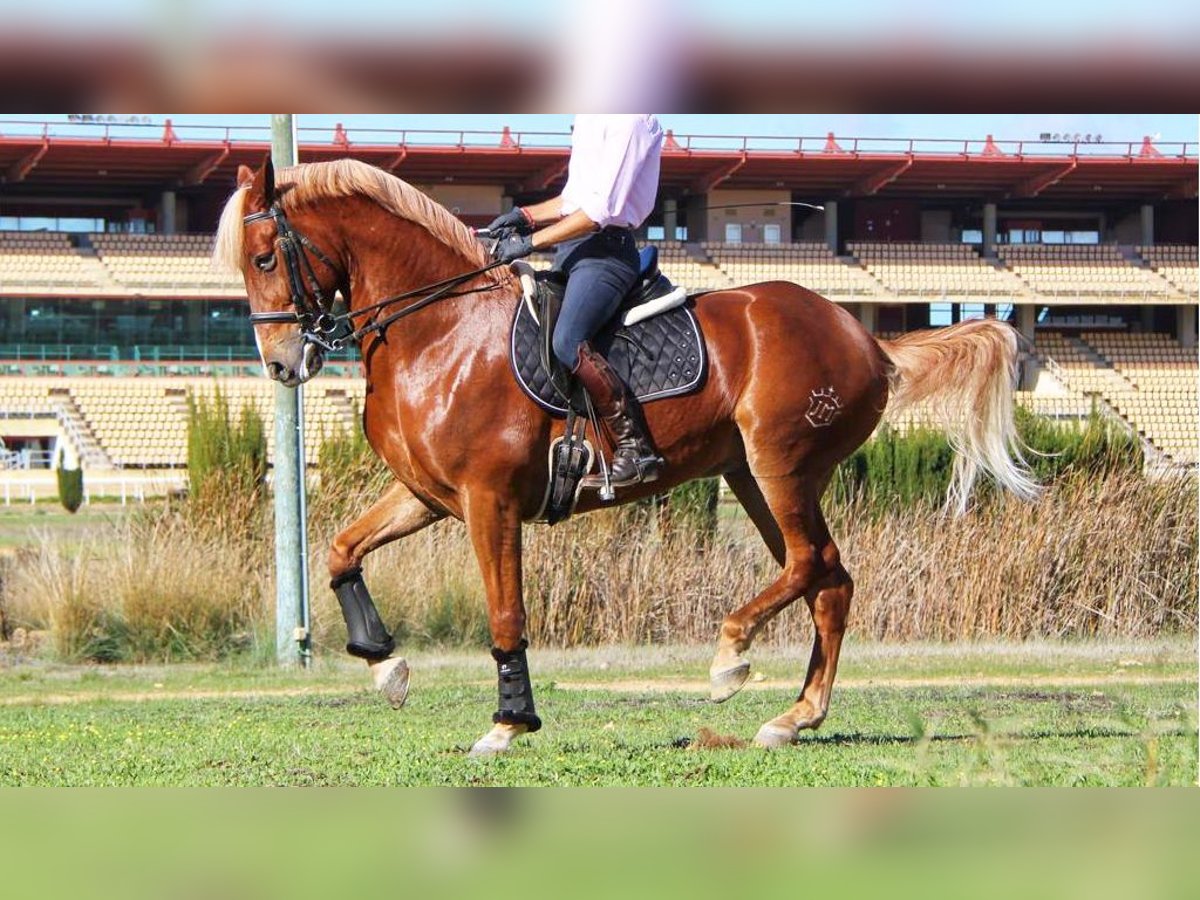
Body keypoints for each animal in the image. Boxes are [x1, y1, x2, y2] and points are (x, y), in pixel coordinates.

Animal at [218, 158, 1041, 758]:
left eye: (264, 257)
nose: (283, 365)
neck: (441, 328)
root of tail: (866, 336)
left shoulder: (490, 500)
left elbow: (507, 612)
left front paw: (509, 722)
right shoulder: (427, 494)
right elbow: (340, 550)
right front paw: (385, 663)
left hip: (781, 465)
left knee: (812, 565)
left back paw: (730, 657)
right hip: (751, 477)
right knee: (828, 581)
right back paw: (794, 717)